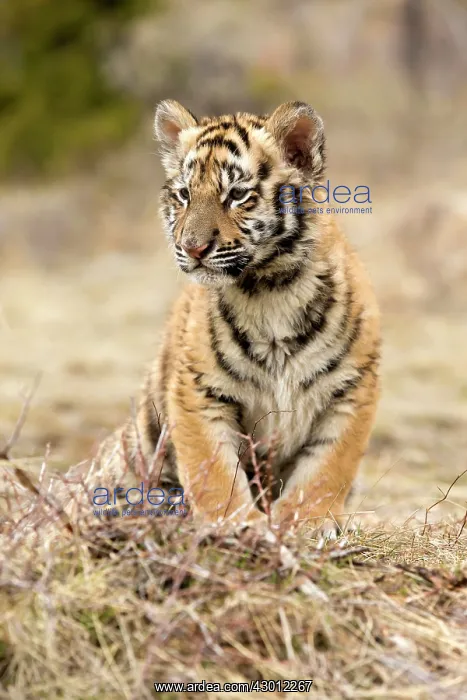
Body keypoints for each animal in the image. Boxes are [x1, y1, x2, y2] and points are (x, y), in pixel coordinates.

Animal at [95, 99, 381, 535]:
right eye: (184, 194)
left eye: (237, 195)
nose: (191, 248)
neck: (270, 287)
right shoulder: (198, 392)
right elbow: (213, 471)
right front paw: (234, 525)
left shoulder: (353, 389)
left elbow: (327, 469)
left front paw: (305, 524)